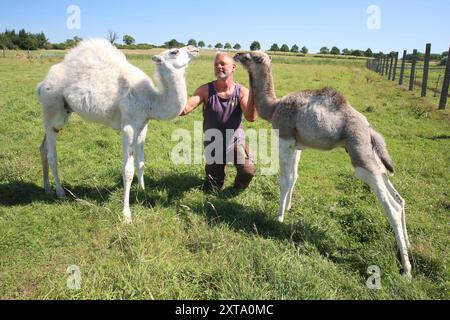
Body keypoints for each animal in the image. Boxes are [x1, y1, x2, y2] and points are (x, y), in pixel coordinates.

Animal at [37, 38, 200, 224]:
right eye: (174, 51)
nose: (194, 48)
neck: (152, 100)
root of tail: (41, 85)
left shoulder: (143, 125)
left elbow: (140, 162)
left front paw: (142, 192)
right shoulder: (128, 127)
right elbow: (128, 170)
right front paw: (126, 214)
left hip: (62, 112)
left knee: (43, 147)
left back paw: (47, 188)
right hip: (52, 107)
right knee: (52, 154)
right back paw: (60, 192)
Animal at [234, 51, 414, 276]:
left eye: (252, 56)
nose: (236, 54)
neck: (274, 107)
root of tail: (369, 128)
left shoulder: (284, 138)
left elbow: (284, 180)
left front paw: (279, 217)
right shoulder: (298, 145)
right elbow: (294, 177)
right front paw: (289, 207)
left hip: (359, 154)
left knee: (391, 207)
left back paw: (406, 269)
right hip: (368, 152)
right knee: (398, 195)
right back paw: (408, 246)